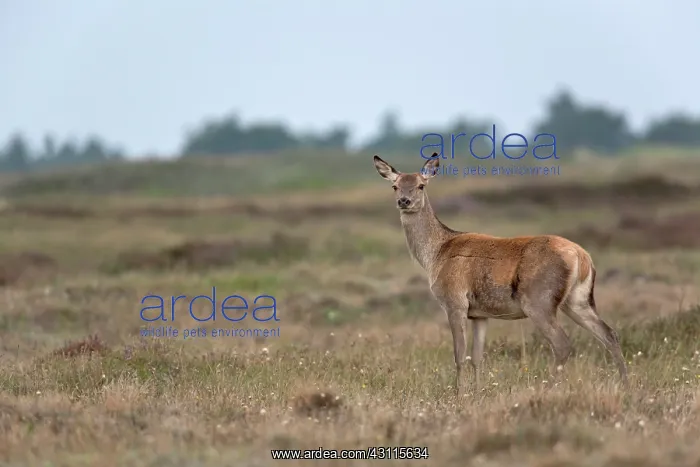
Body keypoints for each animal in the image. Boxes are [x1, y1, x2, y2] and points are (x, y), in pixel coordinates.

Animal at [372, 153, 628, 397]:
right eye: (395, 186)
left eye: (421, 185)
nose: (404, 201)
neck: (436, 254)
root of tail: (582, 256)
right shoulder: (479, 314)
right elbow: (476, 357)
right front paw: (477, 392)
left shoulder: (454, 303)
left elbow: (459, 355)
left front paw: (459, 395)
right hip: (578, 300)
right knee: (609, 334)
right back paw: (623, 382)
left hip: (539, 301)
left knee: (563, 344)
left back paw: (549, 388)